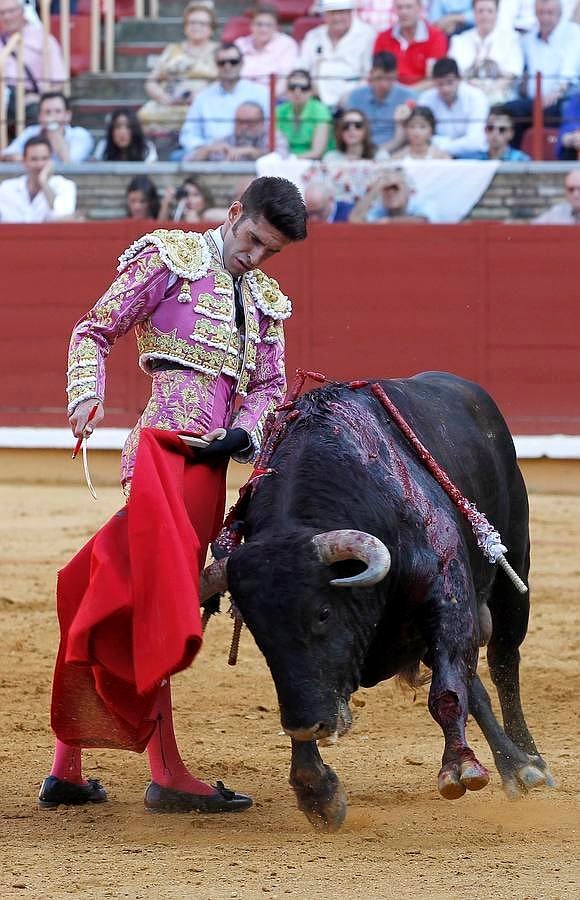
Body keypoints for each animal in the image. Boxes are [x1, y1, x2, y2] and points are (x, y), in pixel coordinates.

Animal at [203, 370, 552, 828]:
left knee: (503, 662)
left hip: (515, 565)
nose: (305, 724)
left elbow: (447, 690)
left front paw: (460, 765)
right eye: (258, 632)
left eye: (323, 613)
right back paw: (514, 765)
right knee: (473, 679)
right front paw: (316, 791)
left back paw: (529, 762)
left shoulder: (447, 596)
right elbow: (310, 692)